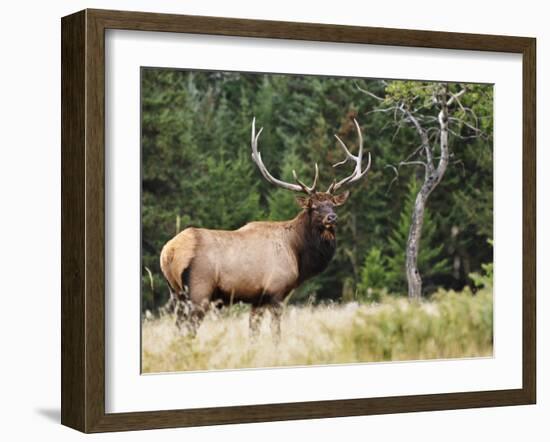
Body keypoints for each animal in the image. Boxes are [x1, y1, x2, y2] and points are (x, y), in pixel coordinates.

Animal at [162, 116, 374, 338]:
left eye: (333, 204)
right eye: (314, 207)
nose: (332, 218)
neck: (297, 252)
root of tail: (169, 253)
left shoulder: (258, 298)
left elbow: (253, 333)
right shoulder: (276, 291)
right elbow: (275, 332)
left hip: (176, 293)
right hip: (199, 290)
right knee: (188, 330)